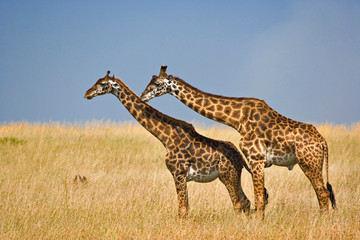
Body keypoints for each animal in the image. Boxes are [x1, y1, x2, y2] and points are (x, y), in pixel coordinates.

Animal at [83, 71, 264, 218]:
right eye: (97, 80)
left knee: (238, 204)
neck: (165, 137)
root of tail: (240, 157)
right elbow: (185, 209)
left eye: (103, 84)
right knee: (246, 203)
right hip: (231, 175)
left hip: (228, 175)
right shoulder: (179, 175)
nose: (86, 93)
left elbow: (182, 210)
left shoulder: (178, 173)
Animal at [139, 64, 336, 218]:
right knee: (323, 192)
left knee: (322, 192)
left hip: (308, 162)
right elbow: (258, 198)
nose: (142, 96)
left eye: (157, 83)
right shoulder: (254, 160)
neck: (237, 119)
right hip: (312, 163)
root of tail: (323, 142)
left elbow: (259, 198)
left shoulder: (256, 158)